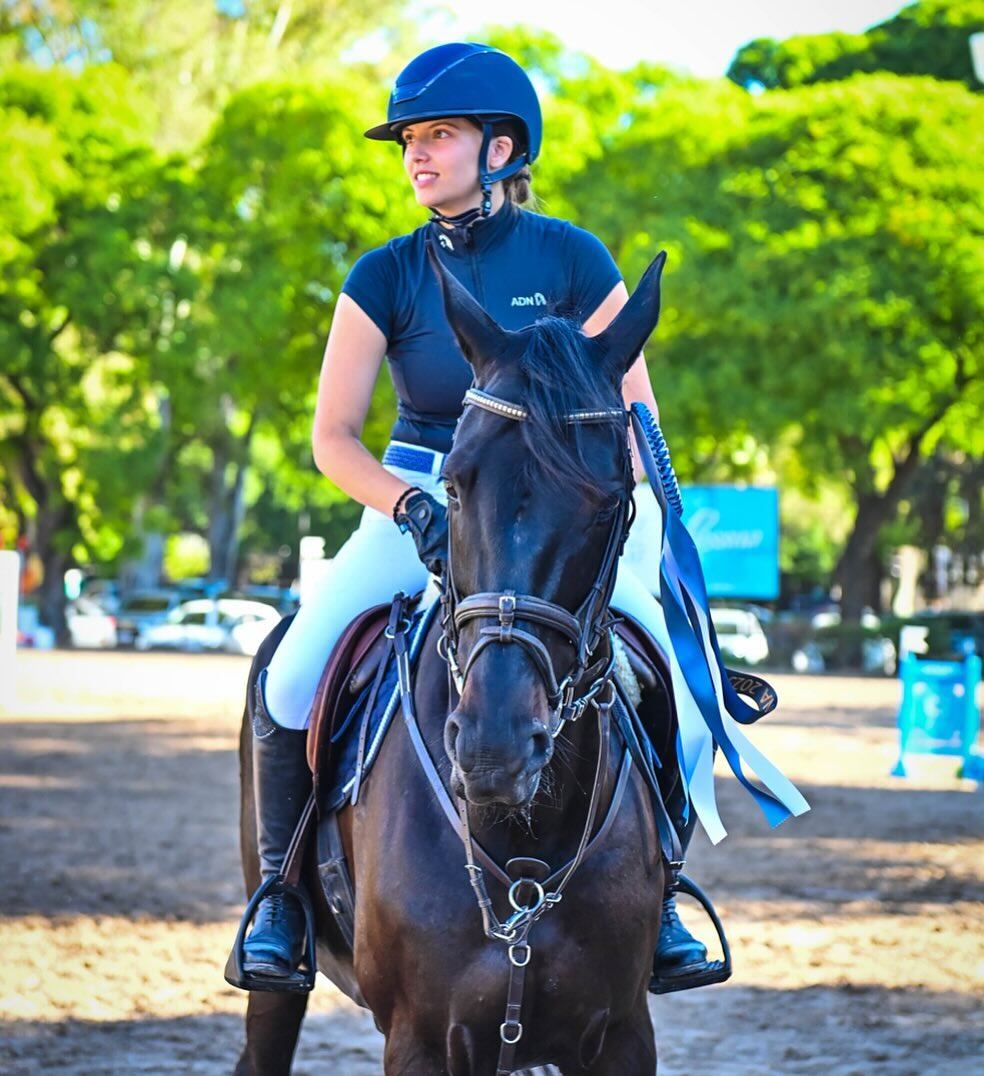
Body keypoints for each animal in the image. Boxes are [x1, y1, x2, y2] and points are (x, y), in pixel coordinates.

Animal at [232, 247, 676, 1071]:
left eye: (609, 499)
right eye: (454, 486)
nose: (495, 749)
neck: (525, 837)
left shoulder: (623, 1035)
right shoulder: (420, 1037)